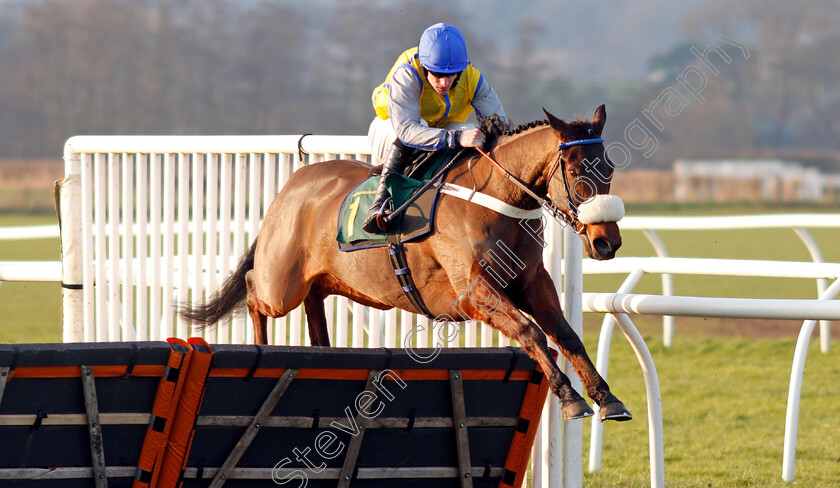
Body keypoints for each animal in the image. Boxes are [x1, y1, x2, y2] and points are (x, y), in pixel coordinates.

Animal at [182, 106, 632, 420]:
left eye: (610, 167)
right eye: (574, 169)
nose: (606, 241)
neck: (498, 198)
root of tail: (291, 186)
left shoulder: (532, 282)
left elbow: (566, 335)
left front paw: (607, 397)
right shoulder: (474, 293)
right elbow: (530, 332)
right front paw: (570, 397)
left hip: (326, 280)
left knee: (314, 302)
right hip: (282, 285)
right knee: (254, 288)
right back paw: (261, 345)